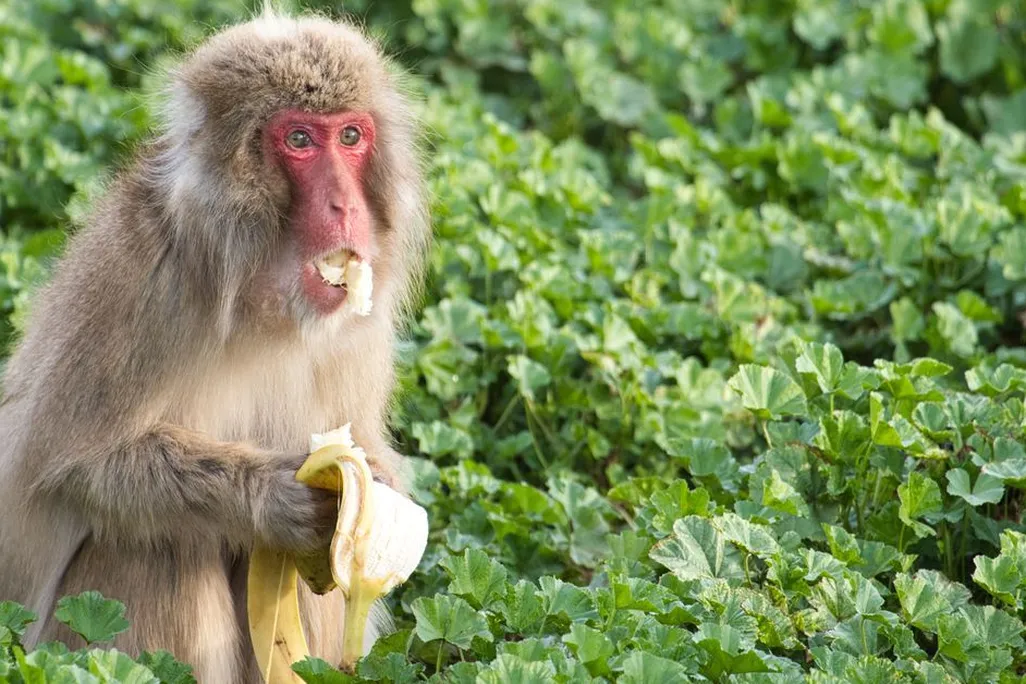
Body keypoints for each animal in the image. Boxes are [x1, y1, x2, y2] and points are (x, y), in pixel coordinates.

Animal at [0, 8, 429, 682]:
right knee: (160, 544)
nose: (344, 206)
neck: (262, 304)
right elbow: (74, 466)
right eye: (299, 140)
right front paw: (274, 497)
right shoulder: (145, 277)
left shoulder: (362, 326)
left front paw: (378, 480)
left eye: (350, 137)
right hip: (51, 648)